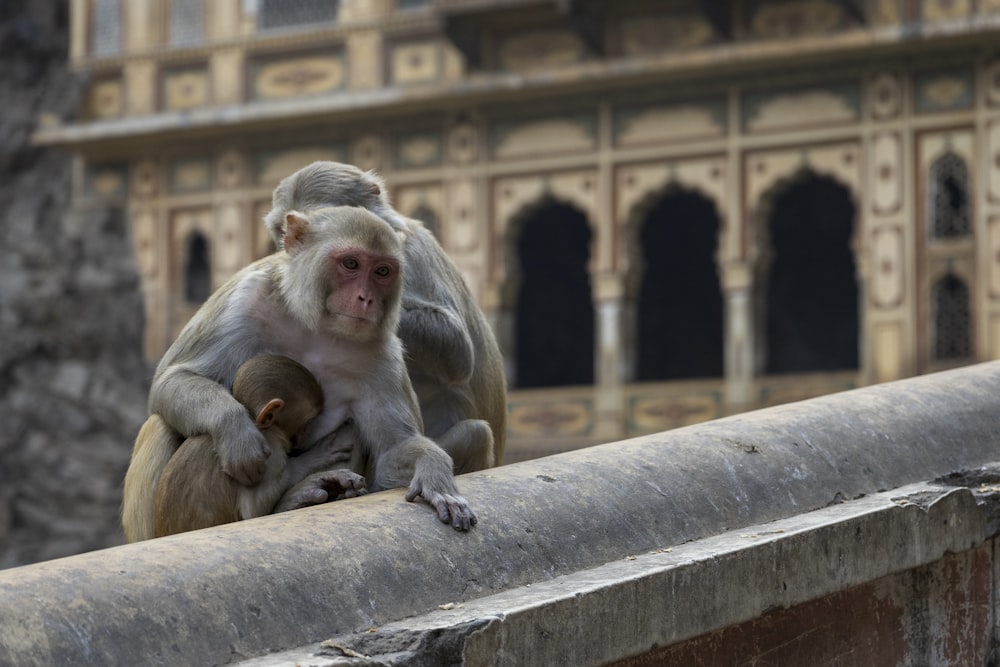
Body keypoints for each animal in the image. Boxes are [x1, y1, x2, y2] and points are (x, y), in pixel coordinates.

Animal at [158, 354, 370, 536]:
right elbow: (254, 508)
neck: (255, 420)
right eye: (308, 421)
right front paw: (316, 458)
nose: (309, 432)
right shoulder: (270, 448)